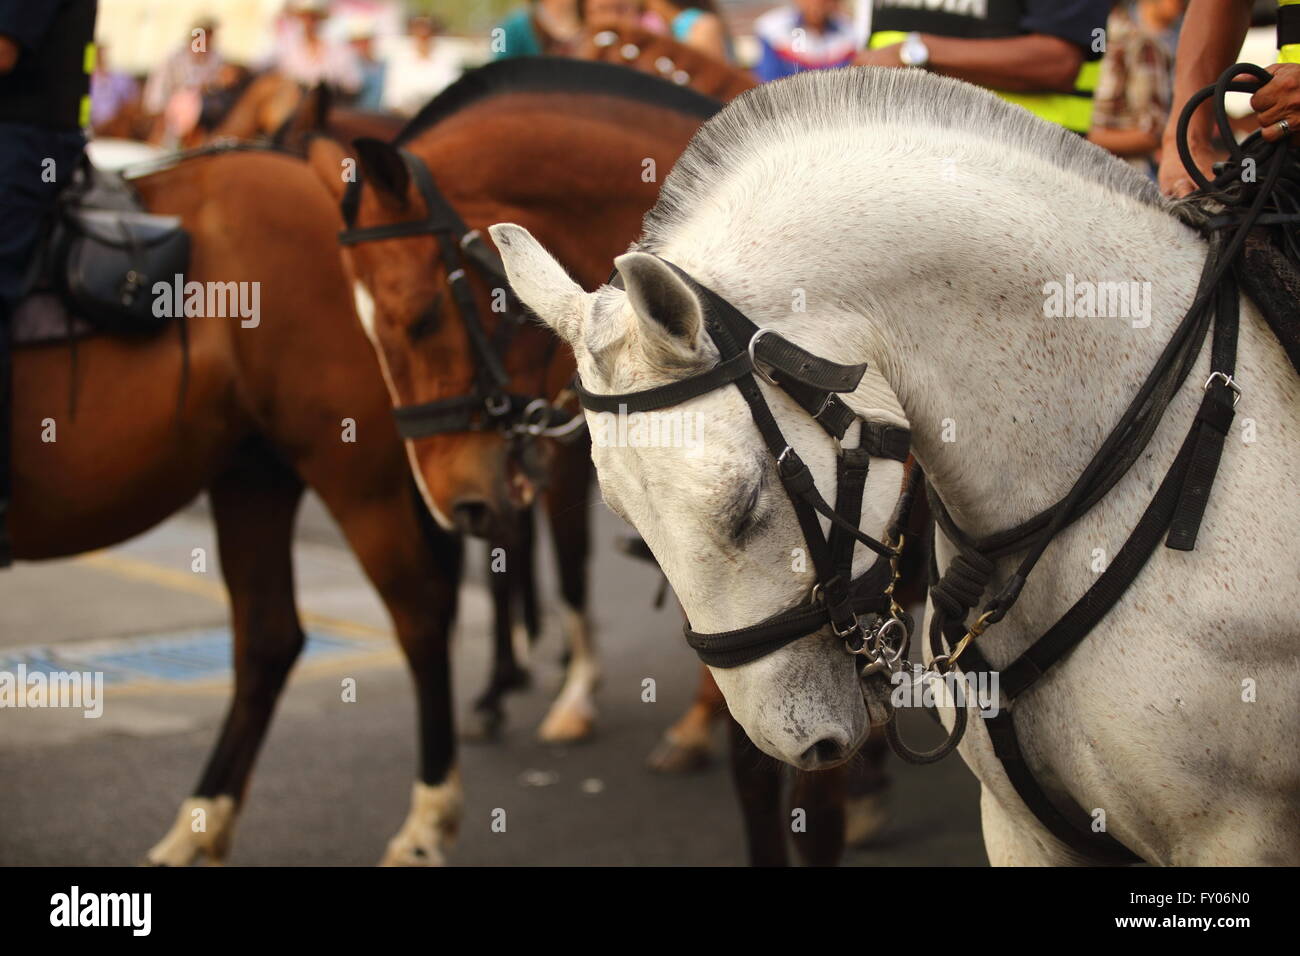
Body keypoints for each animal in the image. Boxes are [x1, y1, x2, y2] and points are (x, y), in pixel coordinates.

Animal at [10, 151, 467, 868]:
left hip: (353, 478)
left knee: (418, 612)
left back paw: (426, 821)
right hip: (253, 474)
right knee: (269, 639)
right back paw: (200, 825)